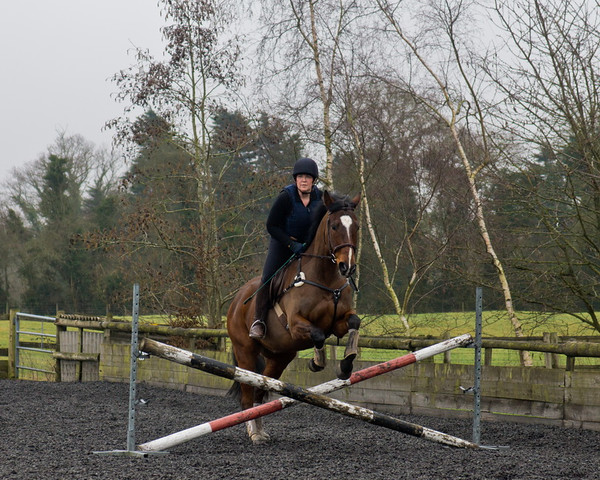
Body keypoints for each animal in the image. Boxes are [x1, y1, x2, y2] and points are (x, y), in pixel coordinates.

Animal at [227, 189, 360, 444]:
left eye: (356, 226)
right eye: (334, 226)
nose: (346, 267)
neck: (325, 278)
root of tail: (236, 300)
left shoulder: (338, 322)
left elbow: (354, 323)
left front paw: (346, 364)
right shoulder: (297, 324)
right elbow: (318, 334)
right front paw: (317, 362)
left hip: (279, 357)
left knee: (260, 390)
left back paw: (260, 431)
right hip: (245, 352)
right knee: (248, 395)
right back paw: (253, 433)